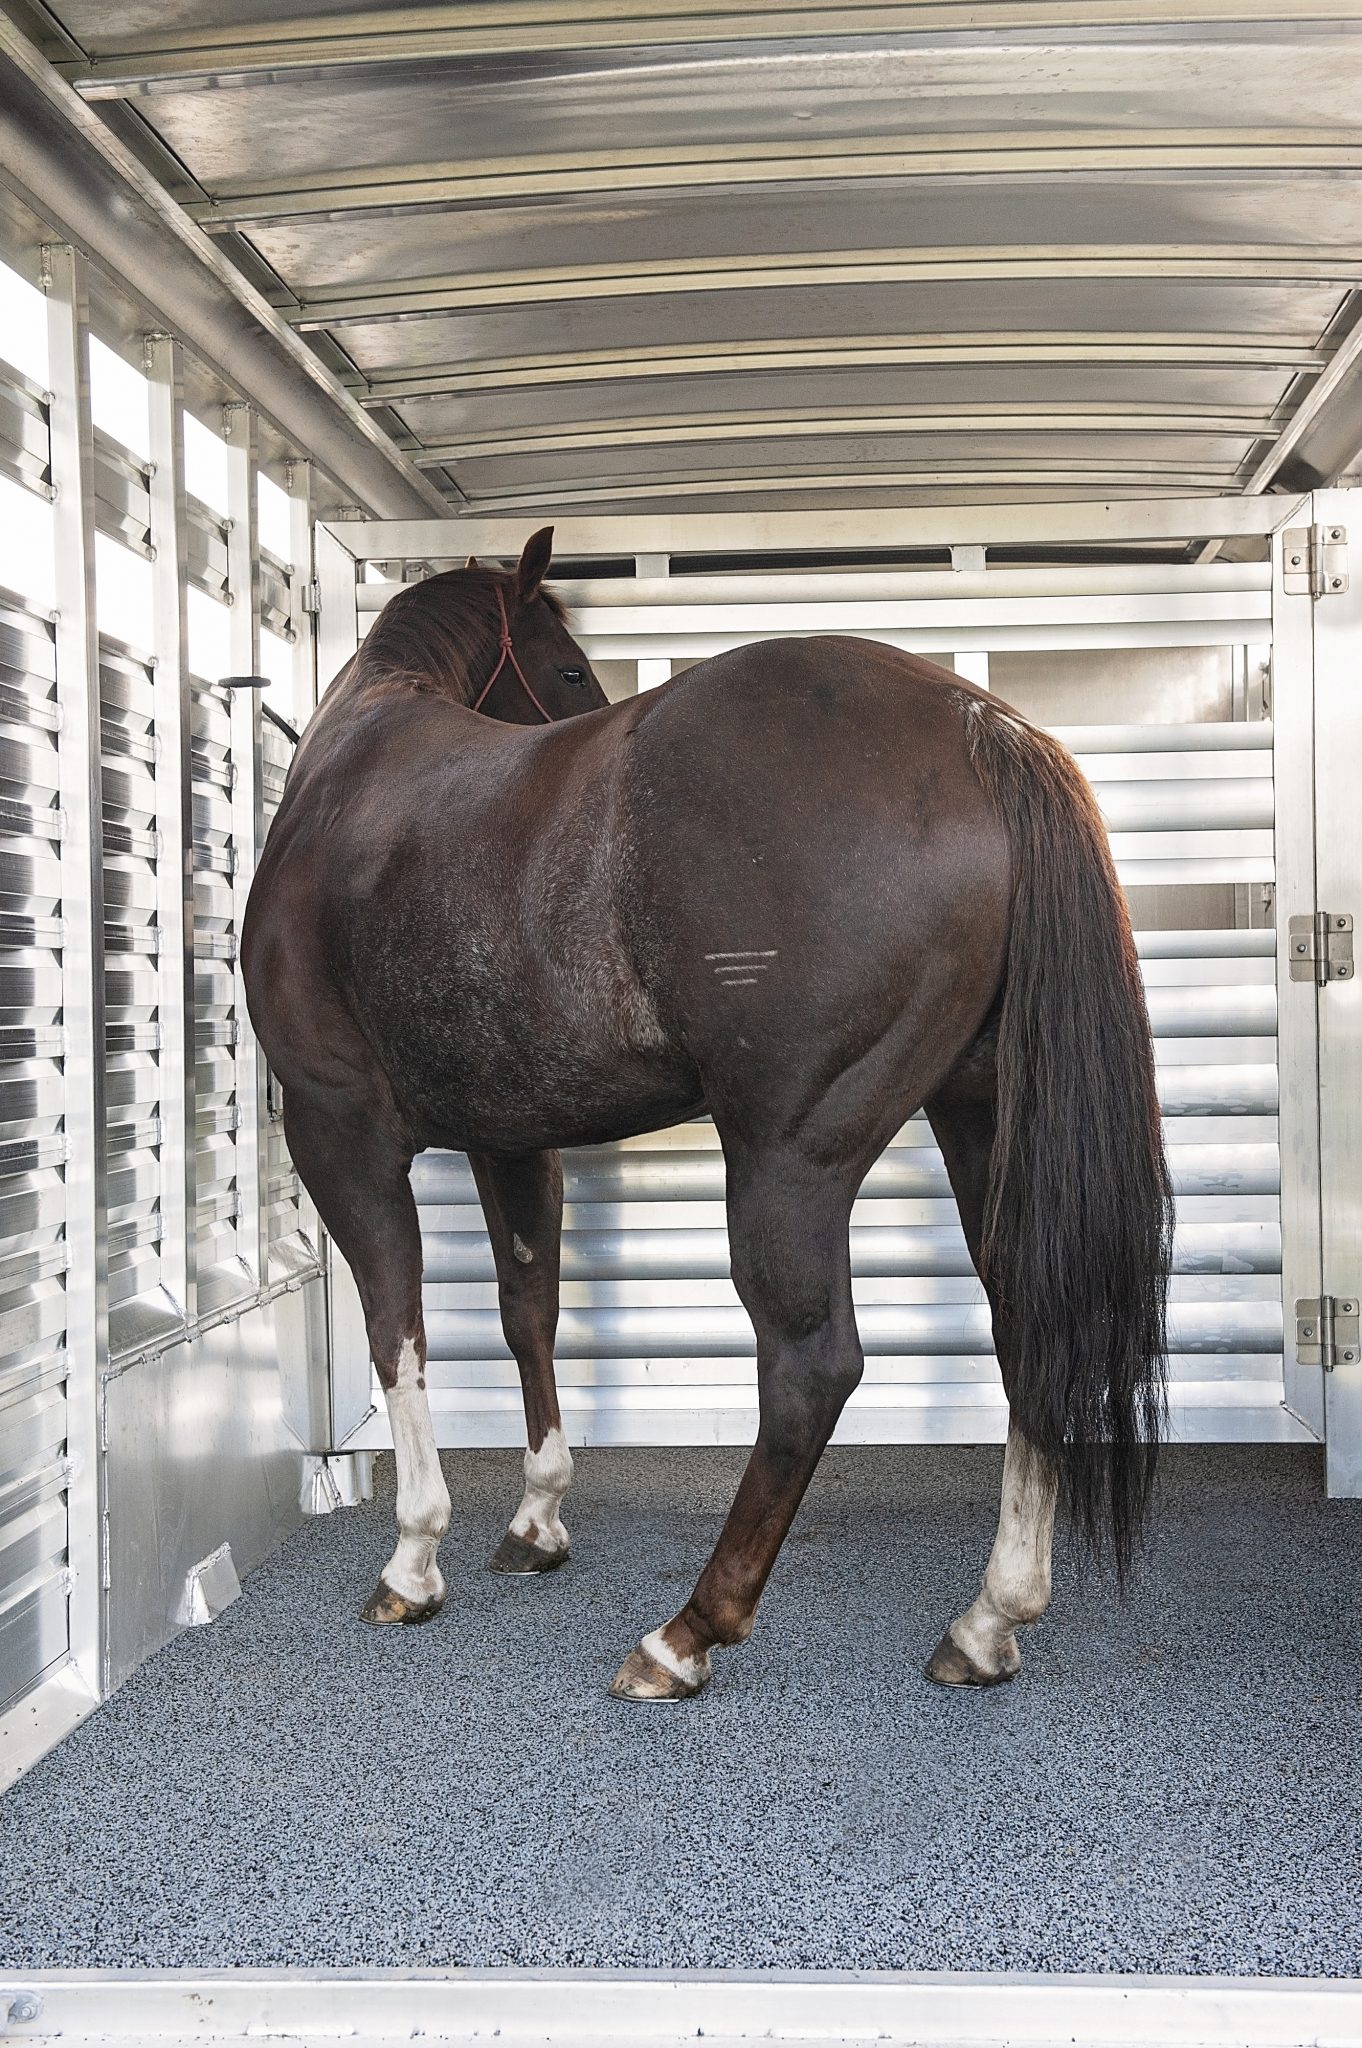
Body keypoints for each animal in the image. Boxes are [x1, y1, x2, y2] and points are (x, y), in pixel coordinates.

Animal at [242, 526, 1172, 1701]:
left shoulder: (340, 1132)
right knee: (1024, 1322)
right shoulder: (513, 1138)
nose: (582, 702)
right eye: (569, 673)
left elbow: (394, 1323)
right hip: (981, 1118)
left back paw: (686, 1631)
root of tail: (979, 726)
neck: (351, 772)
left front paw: (413, 1558)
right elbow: (526, 1311)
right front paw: (536, 1518)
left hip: (788, 1154)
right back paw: (987, 1619)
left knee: (811, 1367)